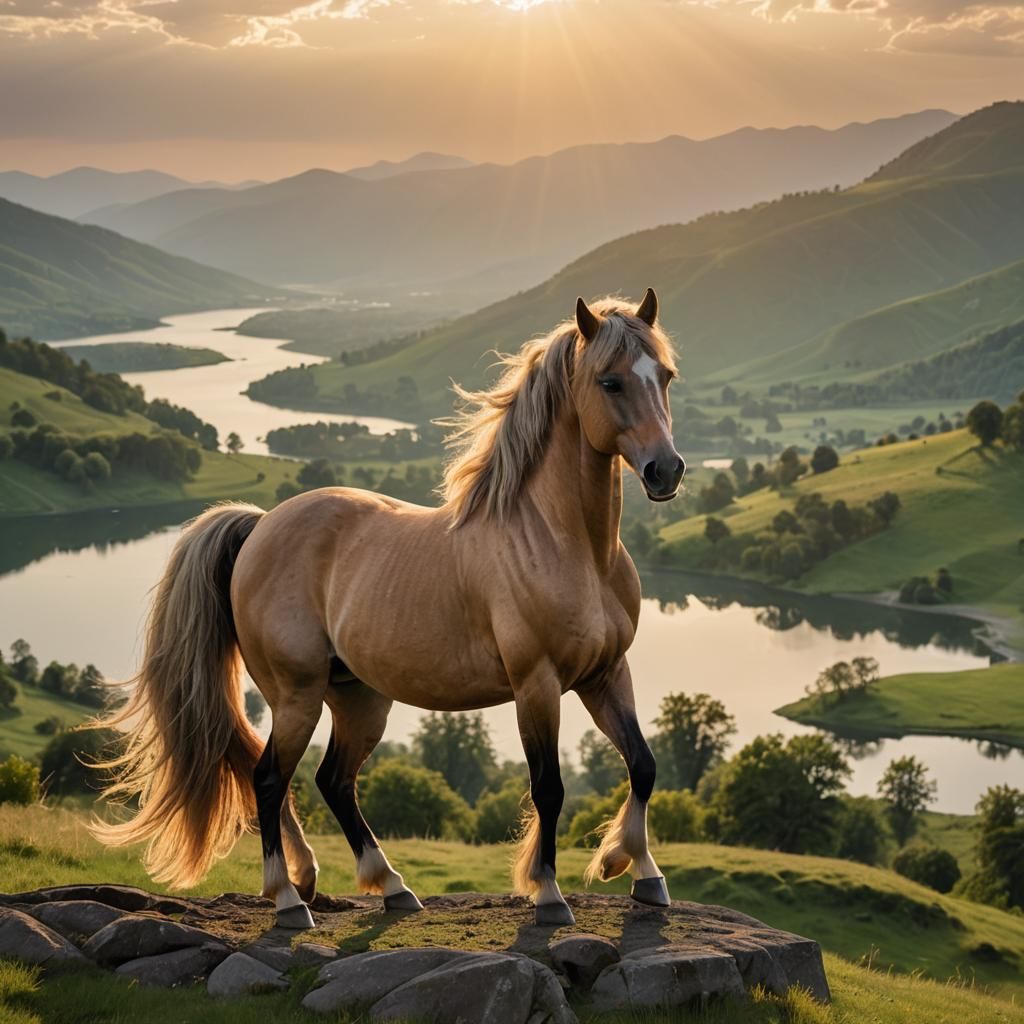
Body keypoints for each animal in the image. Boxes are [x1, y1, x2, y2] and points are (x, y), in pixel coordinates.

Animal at [94, 288, 686, 929]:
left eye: (665, 376)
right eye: (610, 381)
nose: (666, 470)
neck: (564, 545)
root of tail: (259, 525)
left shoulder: (606, 675)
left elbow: (644, 764)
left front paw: (637, 870)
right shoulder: (538, 684)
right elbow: (548, 788)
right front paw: (550, 894)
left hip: (358, 698)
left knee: (331, 781)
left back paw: (384, 885)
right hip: (297, 696)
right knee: (270, 778)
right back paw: (288, 898)